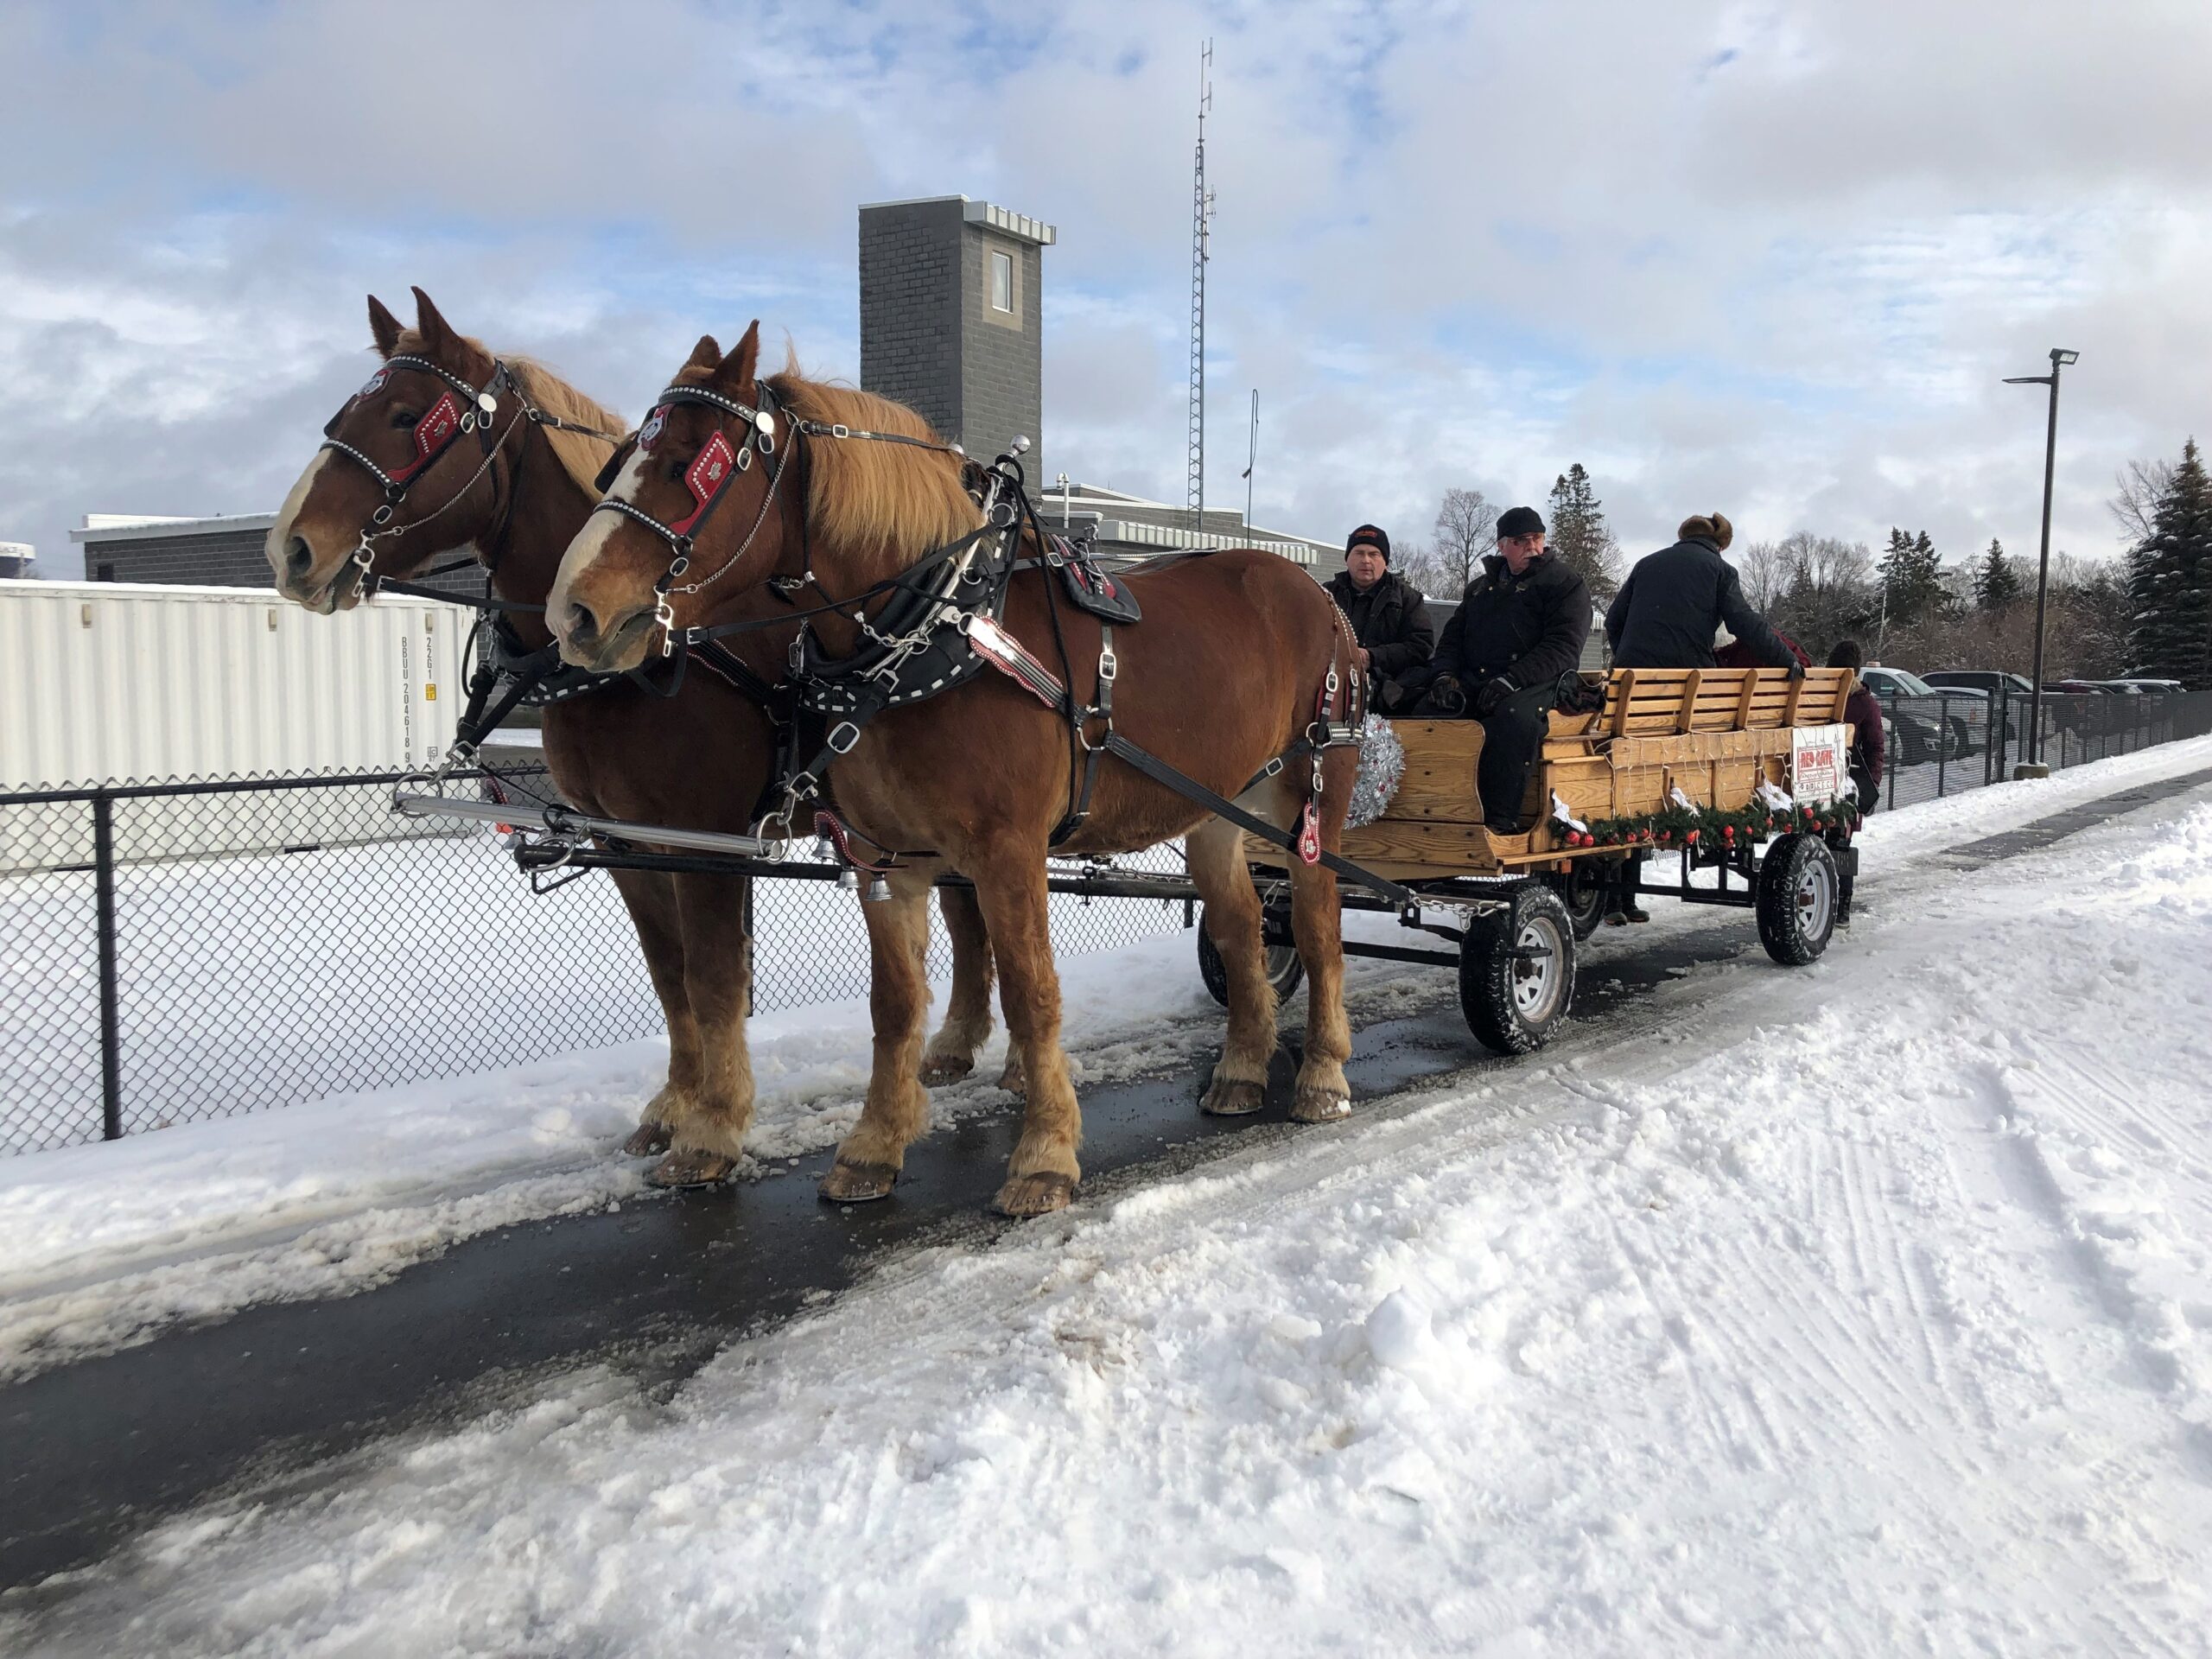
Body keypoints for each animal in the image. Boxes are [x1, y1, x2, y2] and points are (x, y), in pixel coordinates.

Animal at [261, 291, 1013, 1185]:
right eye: (346, 411)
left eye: (408, 417)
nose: (291, 549)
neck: (638, 671)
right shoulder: (622, 840)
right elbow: (670, 976)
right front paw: (674, 1104)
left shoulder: (701, 836)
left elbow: (715, 978)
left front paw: (713, 1128)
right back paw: (960, 1043)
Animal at [543, 321, 1353, 1221]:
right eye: (616, 463)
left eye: (695, 465)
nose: (574, 613)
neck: (934, 631)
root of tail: (1311, 587)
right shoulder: (884, 857)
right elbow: (895, 1004)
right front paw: (873, 1146)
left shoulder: (1007, 851)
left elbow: (1033, 994)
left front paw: (1044, 1155)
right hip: (1216, 807)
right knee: (1243, 925)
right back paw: (1242, 1068)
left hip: (1309, 795)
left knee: (1317, 923)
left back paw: (1322, 1074)